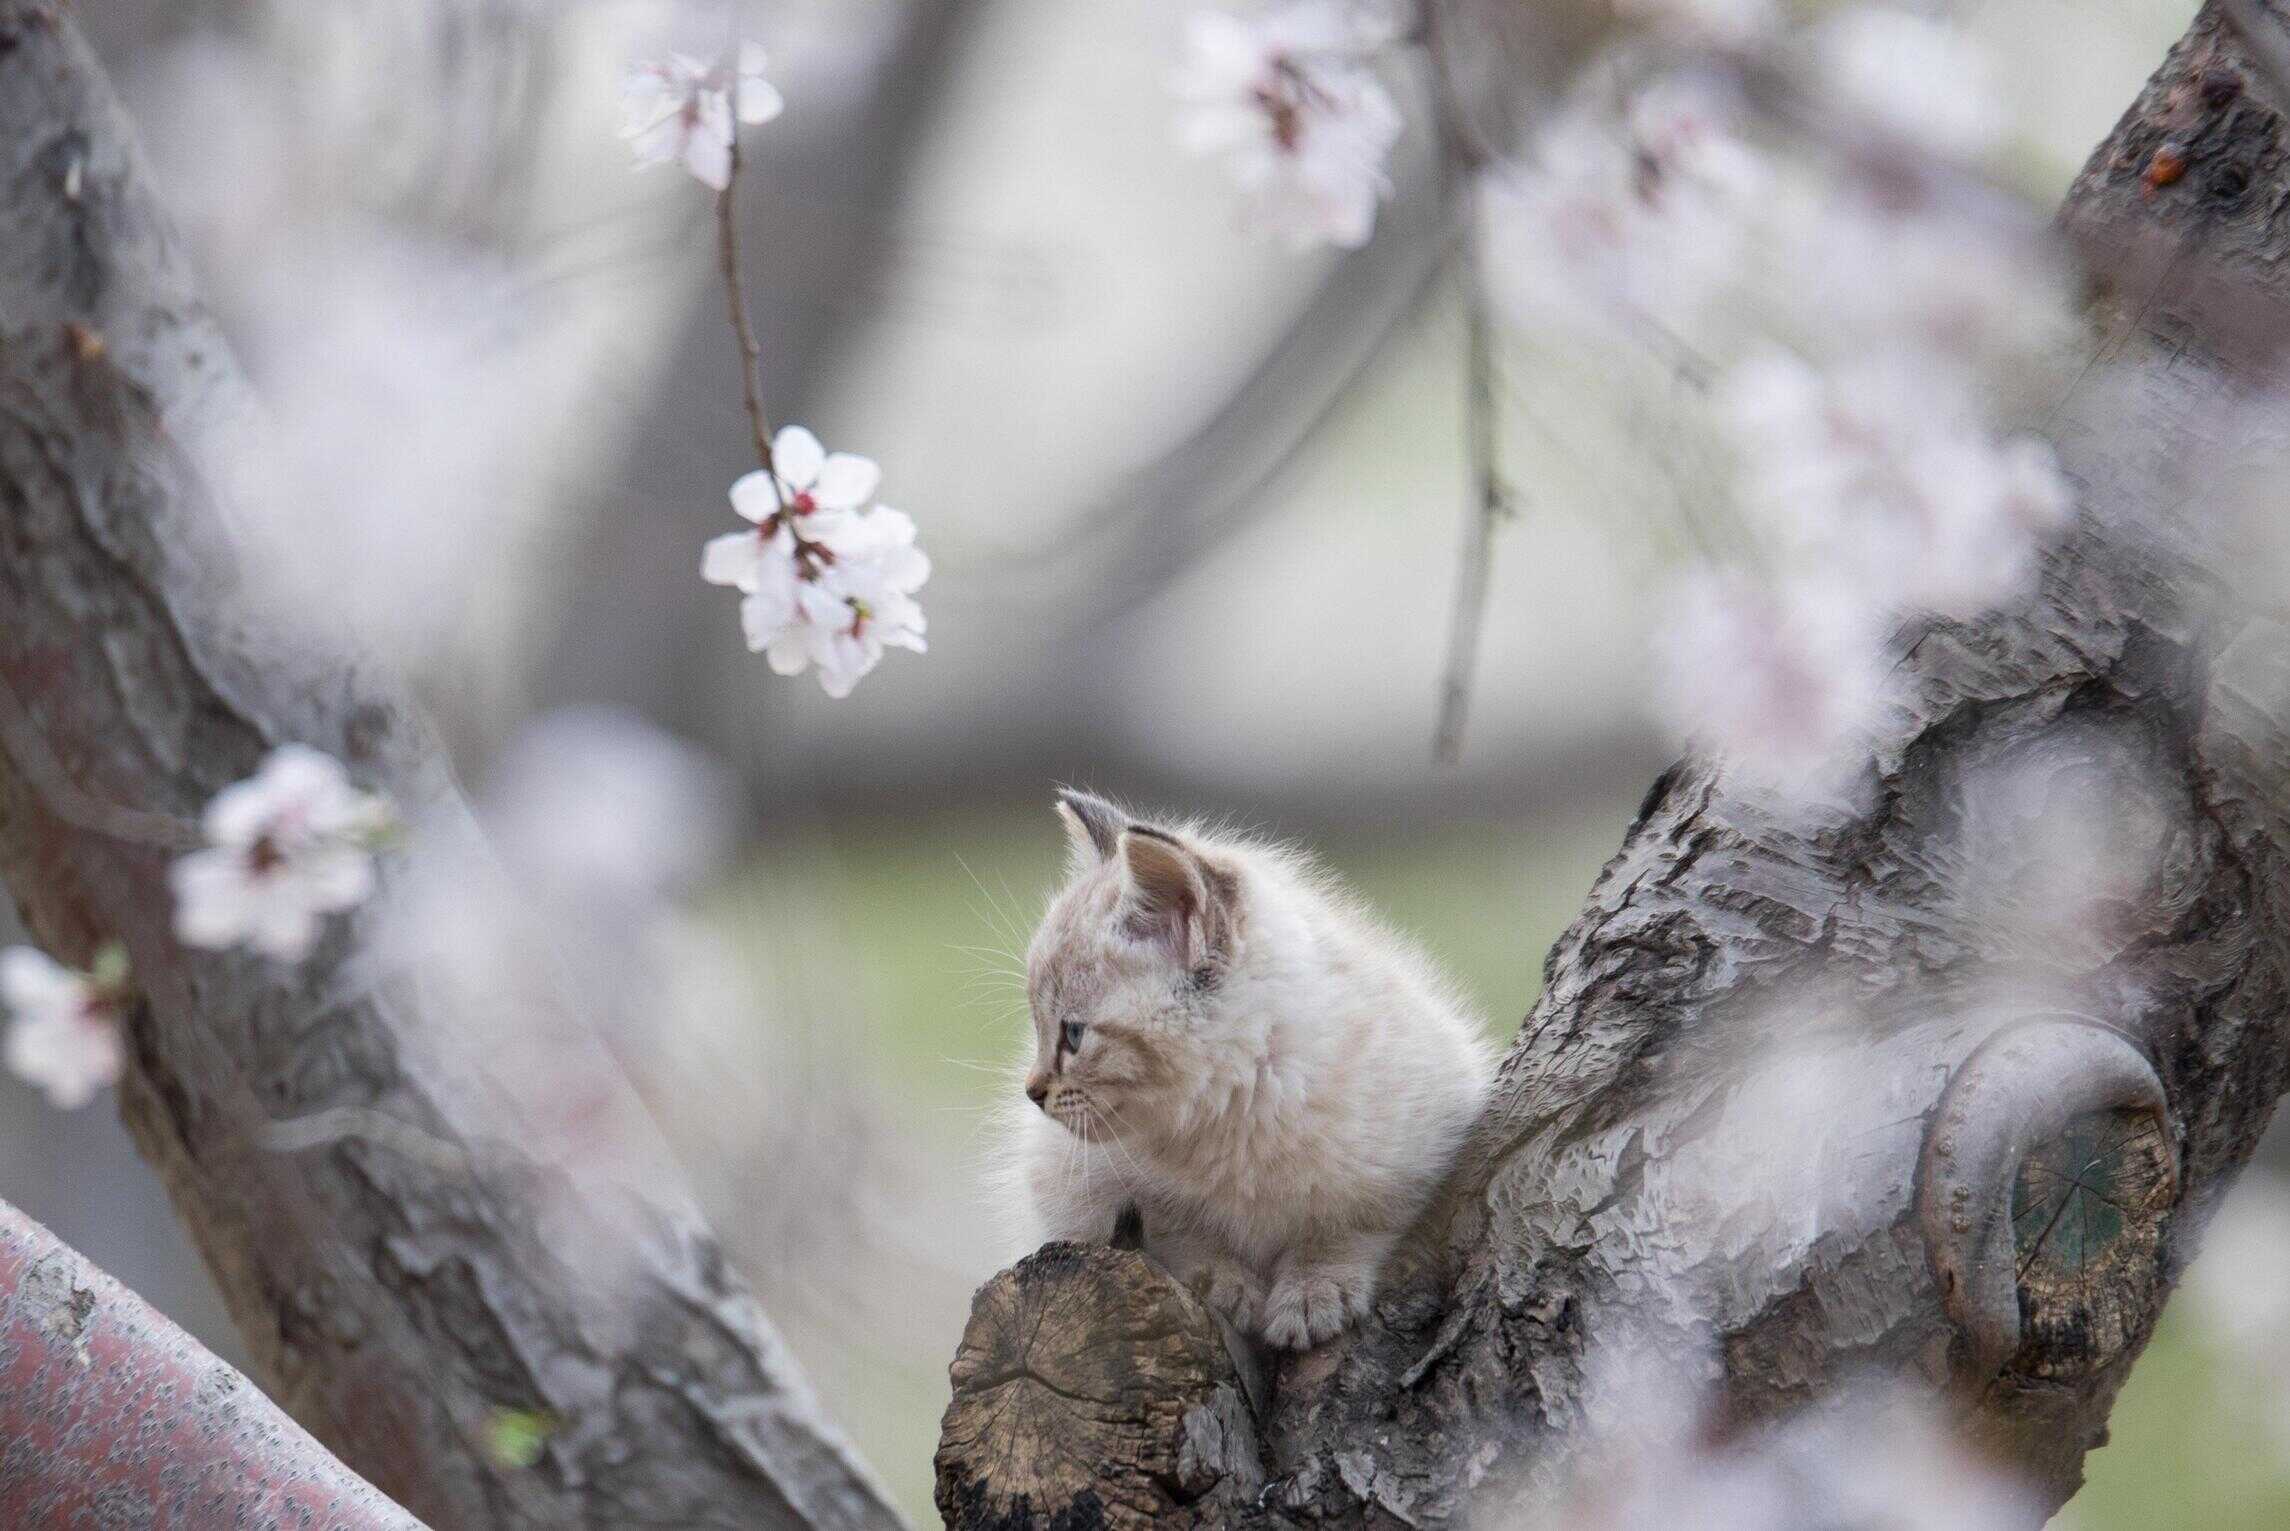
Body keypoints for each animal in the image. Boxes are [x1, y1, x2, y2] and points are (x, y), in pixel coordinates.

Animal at [998, 796, 1493, 1345]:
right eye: (1040, 1028)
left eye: (1074, 1034)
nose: (1032, 1091)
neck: (1236, 1112)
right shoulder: (1080, 1181)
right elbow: (1178, 1230)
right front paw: (1227, 1282)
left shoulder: (1418, 1148)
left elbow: (1349, 1223)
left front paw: (1314, 1290)